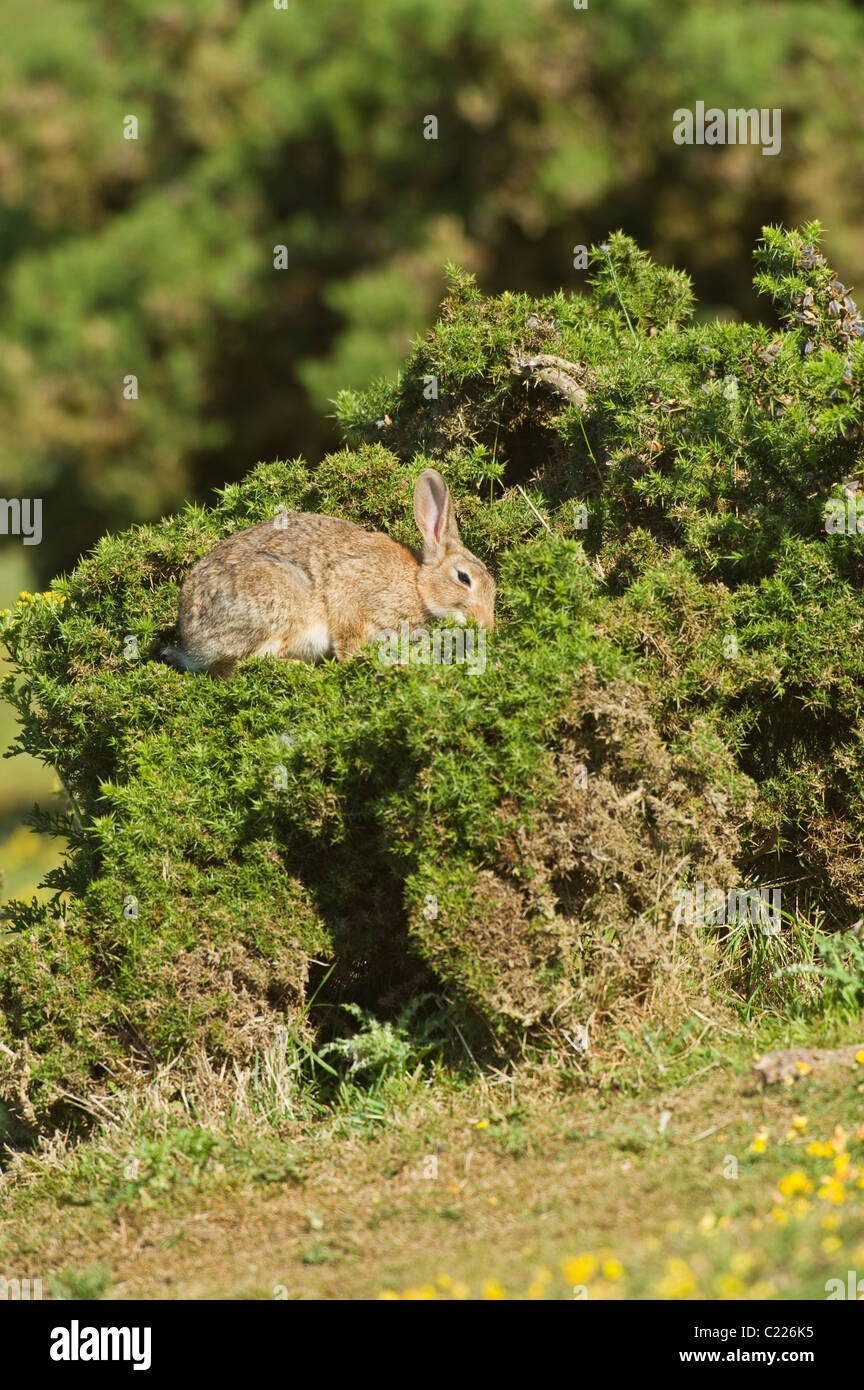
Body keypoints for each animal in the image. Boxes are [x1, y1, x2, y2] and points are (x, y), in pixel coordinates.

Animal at [165, 467, 497, 678]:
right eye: (464, 578)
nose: (488, 626)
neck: (418, 586)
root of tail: (193, 643)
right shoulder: (353, 600)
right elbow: (349, 640)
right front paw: (357, 662)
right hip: (274, 601)